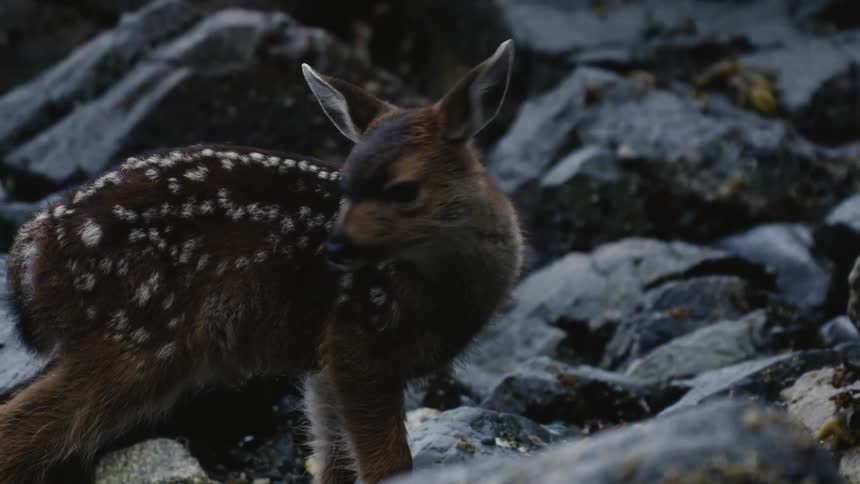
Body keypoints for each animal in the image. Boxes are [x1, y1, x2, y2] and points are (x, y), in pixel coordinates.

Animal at [0, 39, 521, 484]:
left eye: (404, 189)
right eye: (347, 182)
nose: (335, 249)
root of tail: (28, 254)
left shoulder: (323, 363)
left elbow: (333, 461)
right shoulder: (361, 342)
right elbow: (388, 466)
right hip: (136, 333)